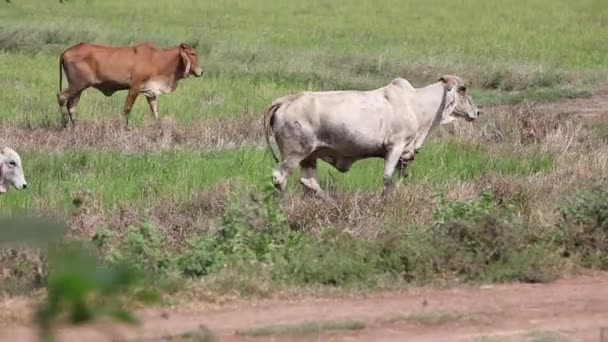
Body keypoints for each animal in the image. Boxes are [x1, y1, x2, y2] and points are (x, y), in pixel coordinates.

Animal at [57, 42, 204, 128]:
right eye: (192, 54)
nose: (201, 71)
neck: (158, 59)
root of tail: (66, 51)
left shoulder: (151, 93)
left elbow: (155, 111)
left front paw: (159, 129)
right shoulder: (135, 87)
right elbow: (127, 109)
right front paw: (125, 128)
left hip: (79, 88)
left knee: (72, 105)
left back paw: (76, 126)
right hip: (78, 85)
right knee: (61, 97)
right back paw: (65, 124)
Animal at [264, 75, 482, 195]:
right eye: (463, 89)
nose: (477, 112)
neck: (416, 104)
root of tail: (285, 100)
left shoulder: (405, 155)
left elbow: (400, 178)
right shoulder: (395, 147)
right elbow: (387, 178)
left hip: (309, 157)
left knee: (309, 182)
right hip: (294, 154)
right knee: (279, 178)